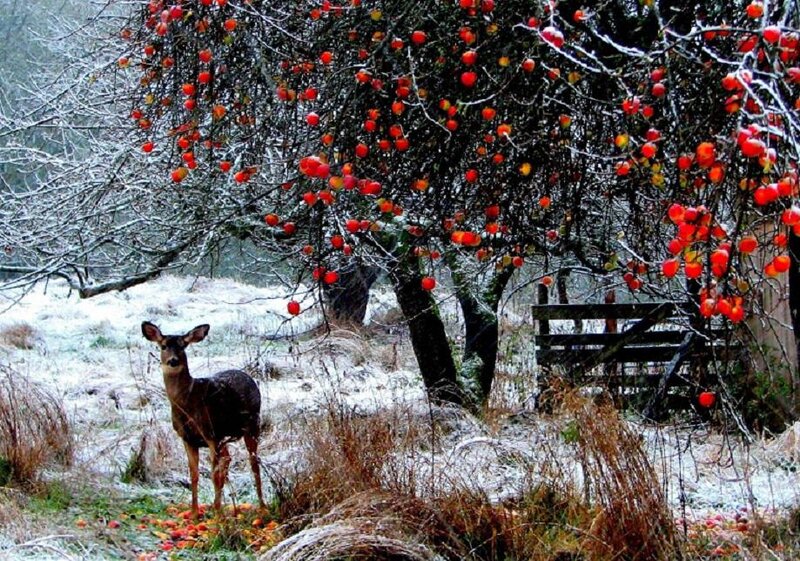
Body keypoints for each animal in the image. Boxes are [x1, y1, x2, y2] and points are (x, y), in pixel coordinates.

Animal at [141, 321, 265, 519]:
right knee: (228, 458)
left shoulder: (209, 432)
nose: (173, 361)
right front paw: (194, 512)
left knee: (254, 462)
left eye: (183, 345)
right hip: (225, 435)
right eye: (163, 346)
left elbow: (214, 475)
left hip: (252, 424)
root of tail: (248, 377)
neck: (187, 402)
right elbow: (194, 474)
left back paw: (261, 507)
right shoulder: (188, 438)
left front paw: (217, 515)